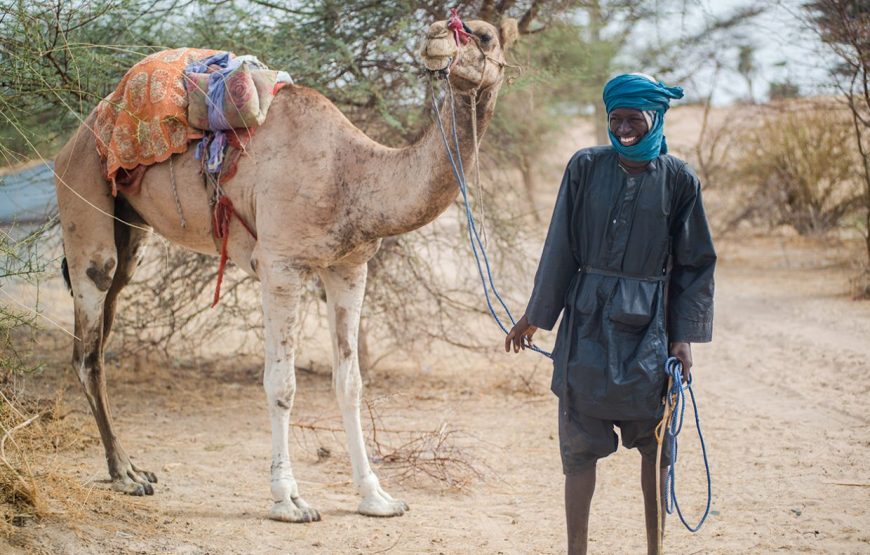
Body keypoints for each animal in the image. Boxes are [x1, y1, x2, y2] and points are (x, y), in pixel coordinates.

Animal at [56, 16, 516, 520]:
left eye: (485, 36)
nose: (434, 36)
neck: (353, 175)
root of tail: (77, 136)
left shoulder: (349, 266)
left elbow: (350, 383)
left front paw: (376, 497)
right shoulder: (280, 265)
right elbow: (282, 384)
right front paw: (288, 499)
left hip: (132, 230)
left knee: (103, 331)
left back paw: (134, 469)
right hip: (83, 197)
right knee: (88, 339)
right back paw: (124, 476)